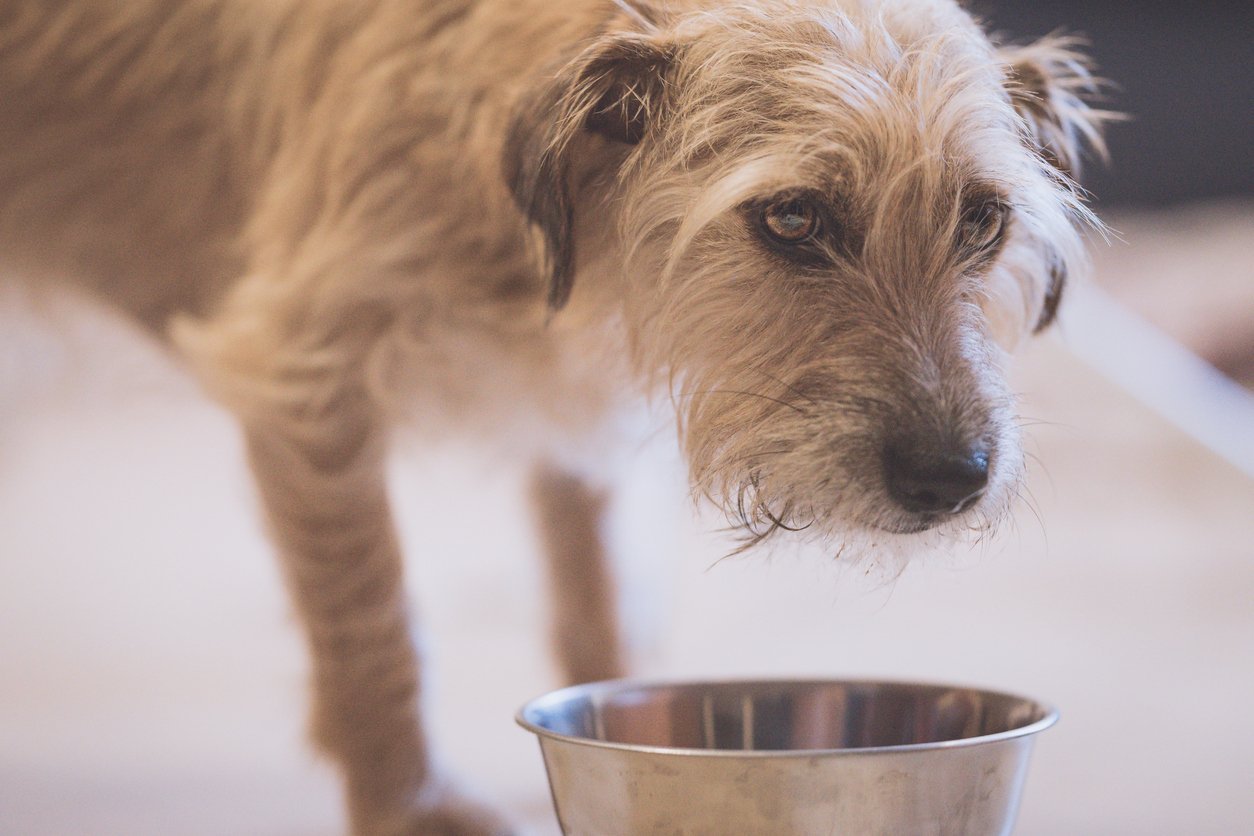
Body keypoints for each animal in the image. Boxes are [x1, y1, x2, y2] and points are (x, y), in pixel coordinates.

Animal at [0, 0, 1108, 832]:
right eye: (793, 217)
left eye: (983, 219)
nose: (951, 476)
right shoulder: (302, 381)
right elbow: (374, 622)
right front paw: (412, 807)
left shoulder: (583, 425)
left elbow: (597, 592)